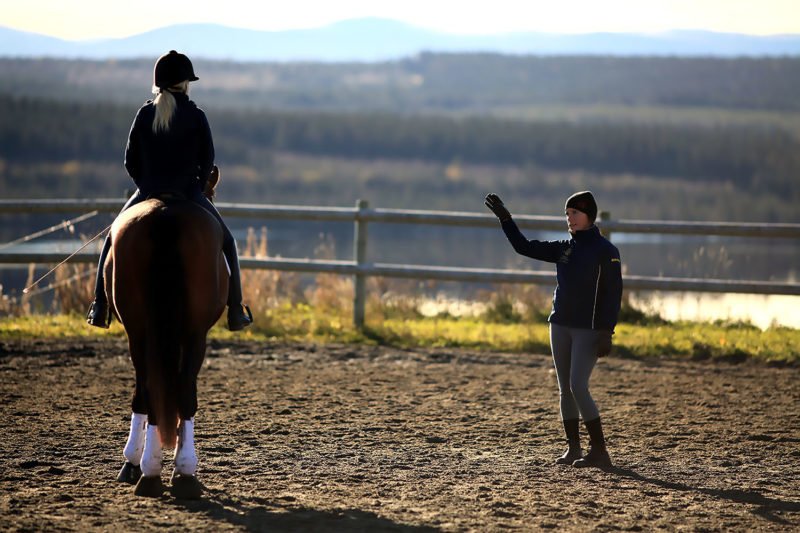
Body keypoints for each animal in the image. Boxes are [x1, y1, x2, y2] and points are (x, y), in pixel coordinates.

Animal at [106, 167, 228, 498]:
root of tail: (164, 214)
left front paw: (136, 461)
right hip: (193, 334)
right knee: (180, 391)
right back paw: (179, 471)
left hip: (141, 331)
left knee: (150, 389)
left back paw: (150, 470)